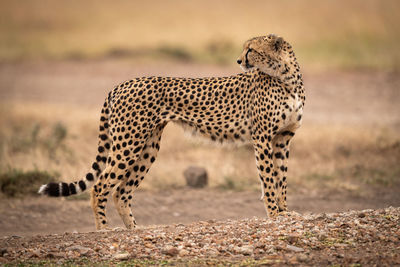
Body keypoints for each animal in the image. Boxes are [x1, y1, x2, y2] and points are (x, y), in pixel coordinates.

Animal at [39, 34, 304, 230]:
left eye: (251, 49)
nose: (239, 61)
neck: (286, 78)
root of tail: (122, 83)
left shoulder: (283, 139)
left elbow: (281, 179)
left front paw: (285, 212)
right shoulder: (262, 138)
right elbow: (269, 179)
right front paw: (274, 215)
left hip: (148, 147)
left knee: (121, 192)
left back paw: (134, 231)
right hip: (128, 144)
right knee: (100, 186)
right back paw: (104, 230)